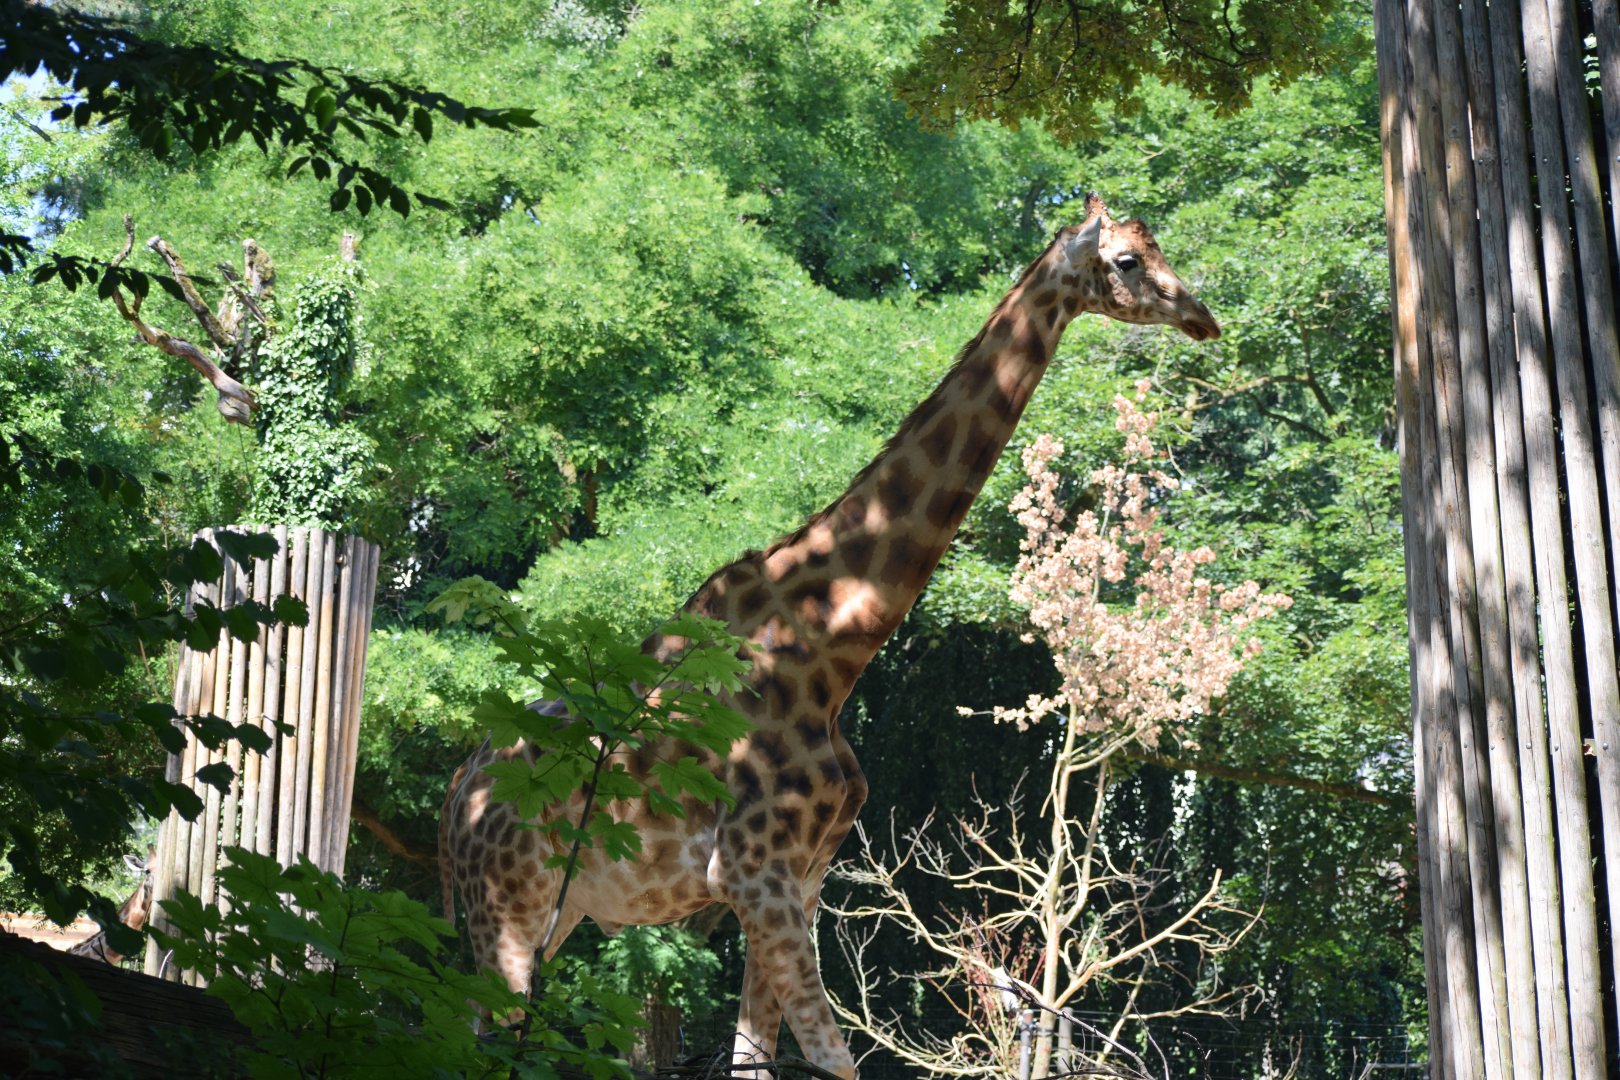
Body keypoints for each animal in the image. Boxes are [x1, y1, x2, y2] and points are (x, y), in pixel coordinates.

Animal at [440, 192, 1220, 1078]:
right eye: (1126, 260)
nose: (1202, 318)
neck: (832, 651)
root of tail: (454, 803)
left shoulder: (798, 879)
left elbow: (759, 1056)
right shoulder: (757, 875)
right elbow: (833, 1058)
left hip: (549, 915)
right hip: (508, 912)